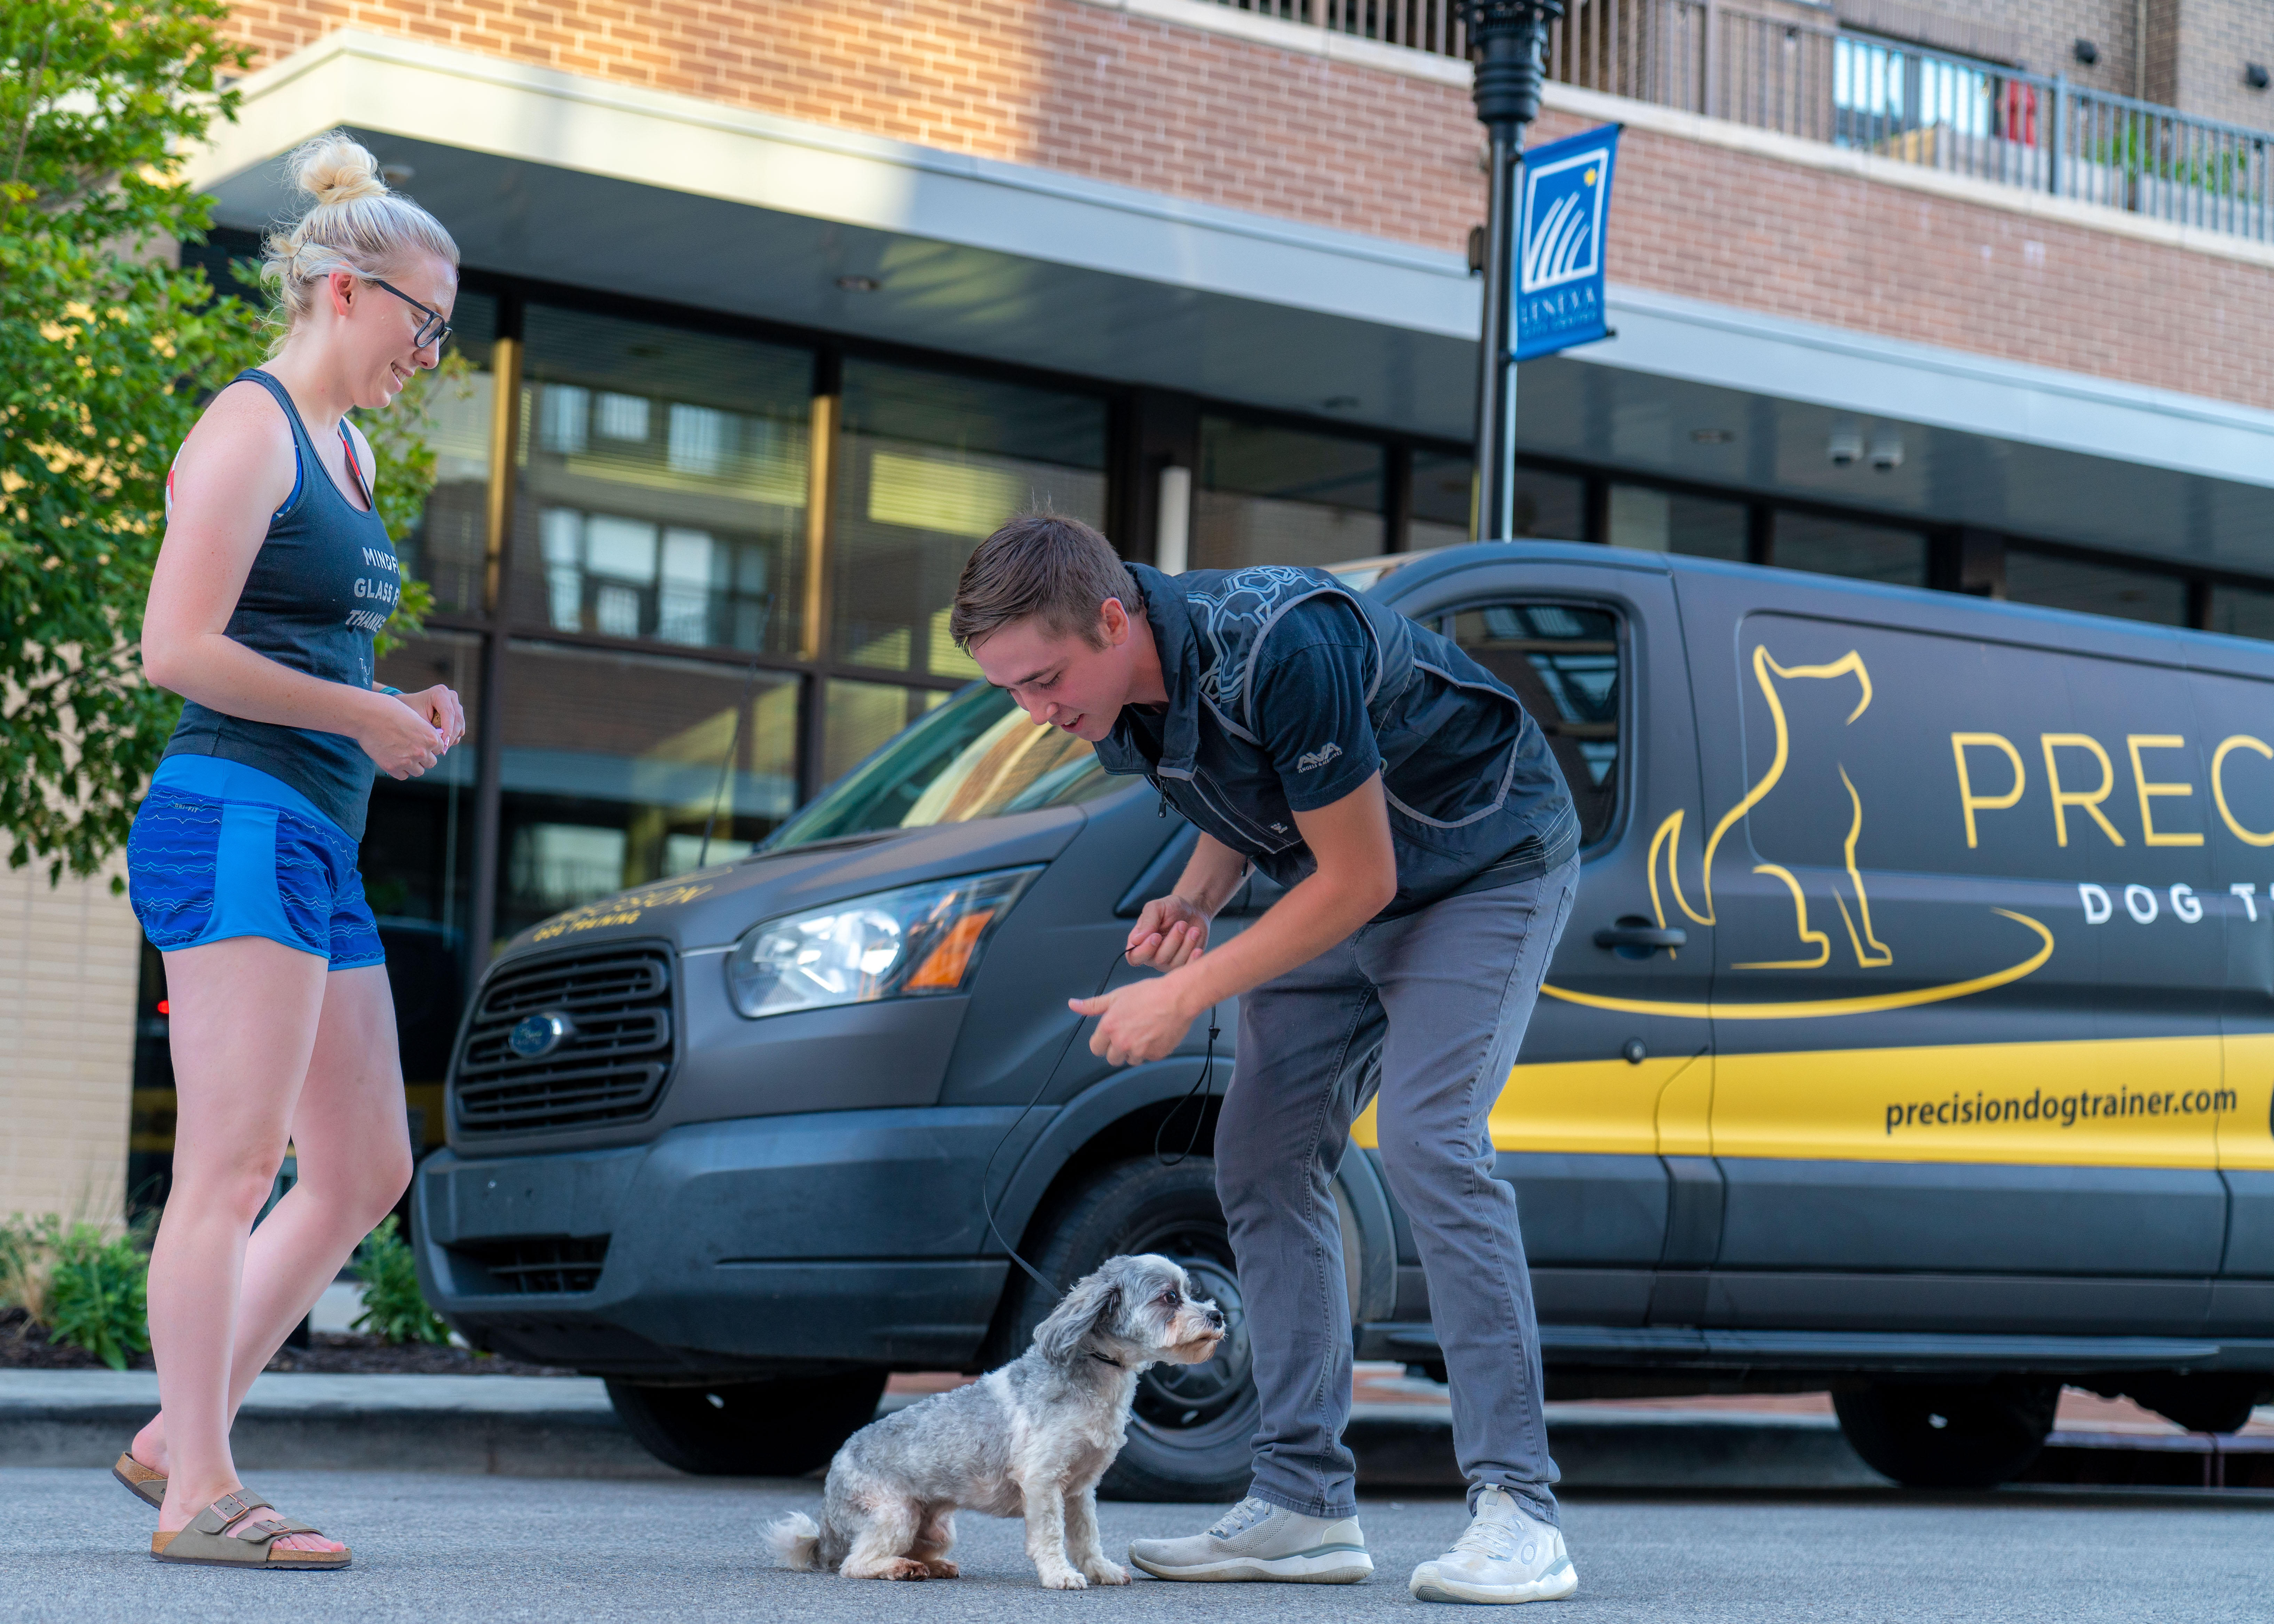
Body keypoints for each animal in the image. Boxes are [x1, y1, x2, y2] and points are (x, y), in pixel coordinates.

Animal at [764, 1255, 1228, 1583]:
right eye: (1170, 1298)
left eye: (1190, 1291)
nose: (1218, 1315)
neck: (1096, 1377)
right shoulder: (1043, 1482)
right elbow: (1051, 1535)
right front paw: (1059, 1574)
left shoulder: (1080, 1490)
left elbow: (1086, 1536)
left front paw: (1099, 1570)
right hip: (895, 1514)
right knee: (856, 1563)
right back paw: (895, 1567)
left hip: (938, 1528)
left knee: (914, 1551)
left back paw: (932, 1566)